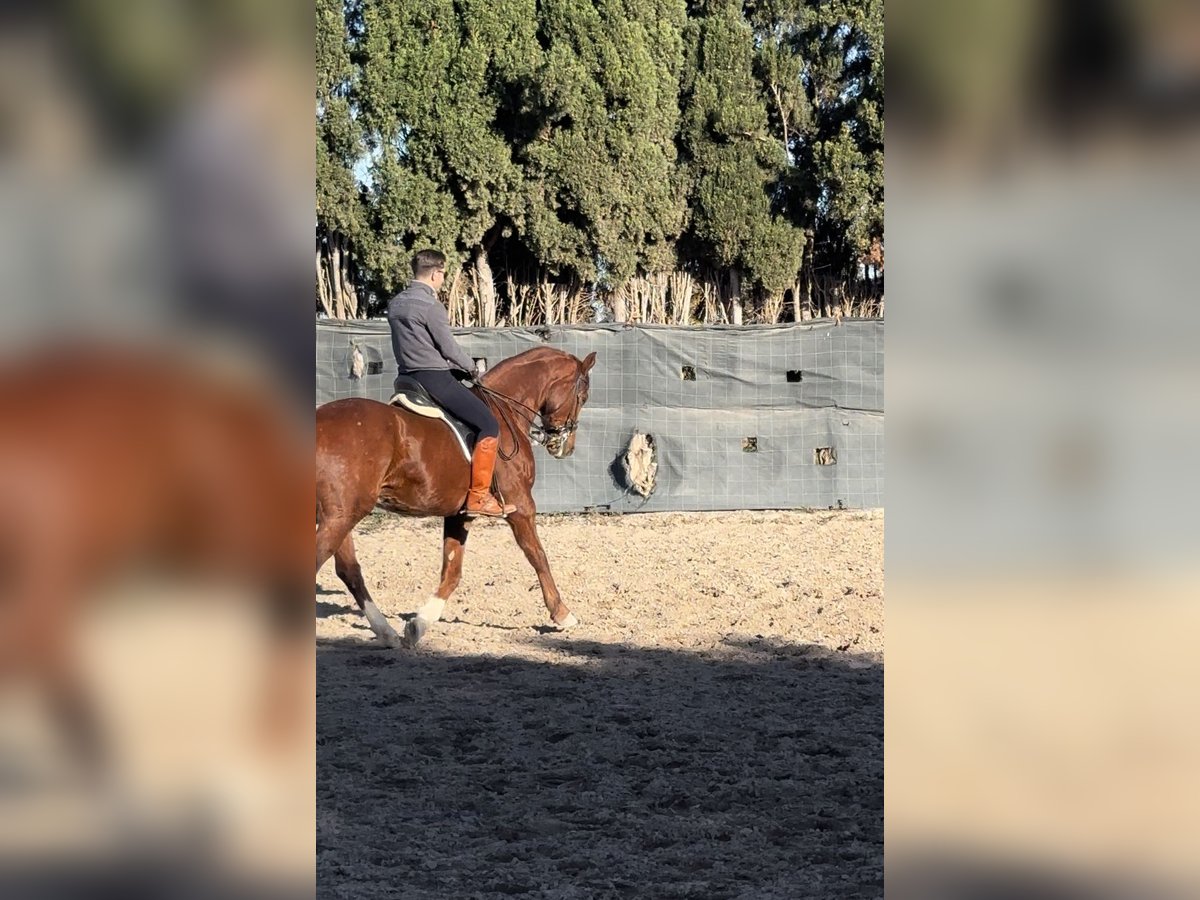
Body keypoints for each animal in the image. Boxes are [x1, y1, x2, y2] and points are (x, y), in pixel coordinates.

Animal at [314, 345, 595, 648]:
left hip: (341, 515)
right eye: (582, 396)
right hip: (342, 516)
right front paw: (563, 614)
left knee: (349, 569)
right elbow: (538, 555)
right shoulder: (521, 506)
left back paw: (386, 632)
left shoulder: (460, 514)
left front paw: (419, 624)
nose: (564, 447)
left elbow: (452, 571)